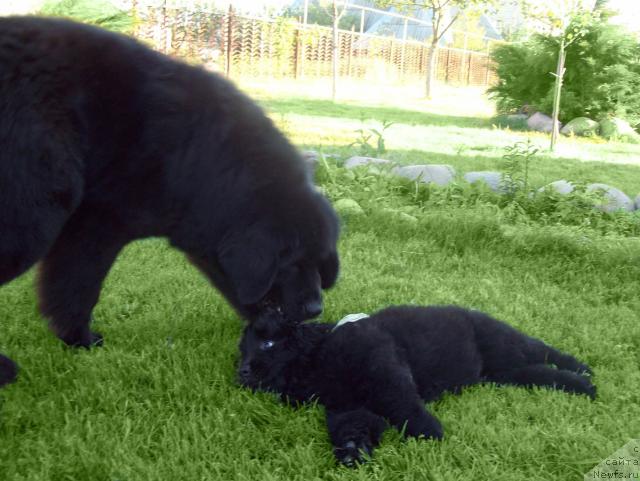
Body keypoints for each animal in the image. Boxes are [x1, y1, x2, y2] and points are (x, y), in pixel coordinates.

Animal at [0, 16, 340, 386]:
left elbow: (63, 288)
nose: (315, 309)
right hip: (33, 212)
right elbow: (80, 287)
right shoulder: (100, 225)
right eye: (291, 260)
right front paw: (82, 340)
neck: (201, 161)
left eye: (321, 260)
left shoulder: (86, 225)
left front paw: (74, 339)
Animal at [239, 304, 596, 464]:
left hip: (505, 343)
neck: (318, 357)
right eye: (243, 349)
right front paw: (353, 451)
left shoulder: (384, 366)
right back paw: (583, 384)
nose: (241, 370)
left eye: (267, 344)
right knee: (542, 374)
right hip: (505, 371)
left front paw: (429, 432)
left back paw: (585, 374)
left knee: (547, 351)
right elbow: (354, 425)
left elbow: (402, 402)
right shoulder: (347, 406)